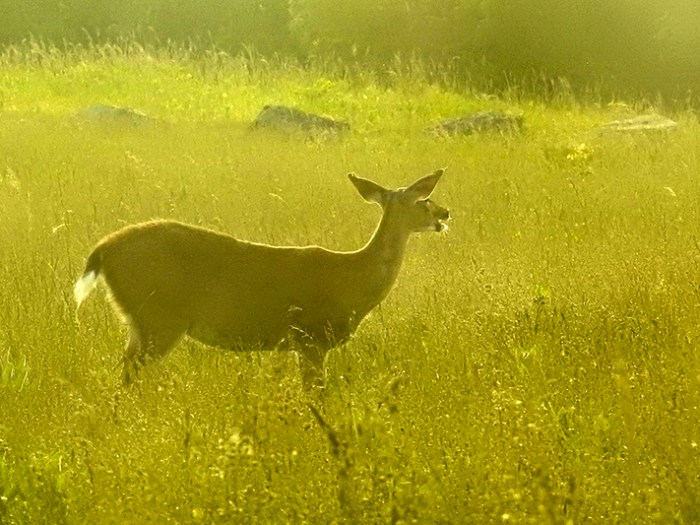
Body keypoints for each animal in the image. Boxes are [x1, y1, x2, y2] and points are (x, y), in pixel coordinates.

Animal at [74, 169, 450, 388]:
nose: (446, 213)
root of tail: (103, 250)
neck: (353, 277)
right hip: (159, 317)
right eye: (424, 200)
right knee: (130, 373)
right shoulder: (311, 337)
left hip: (139, 322)